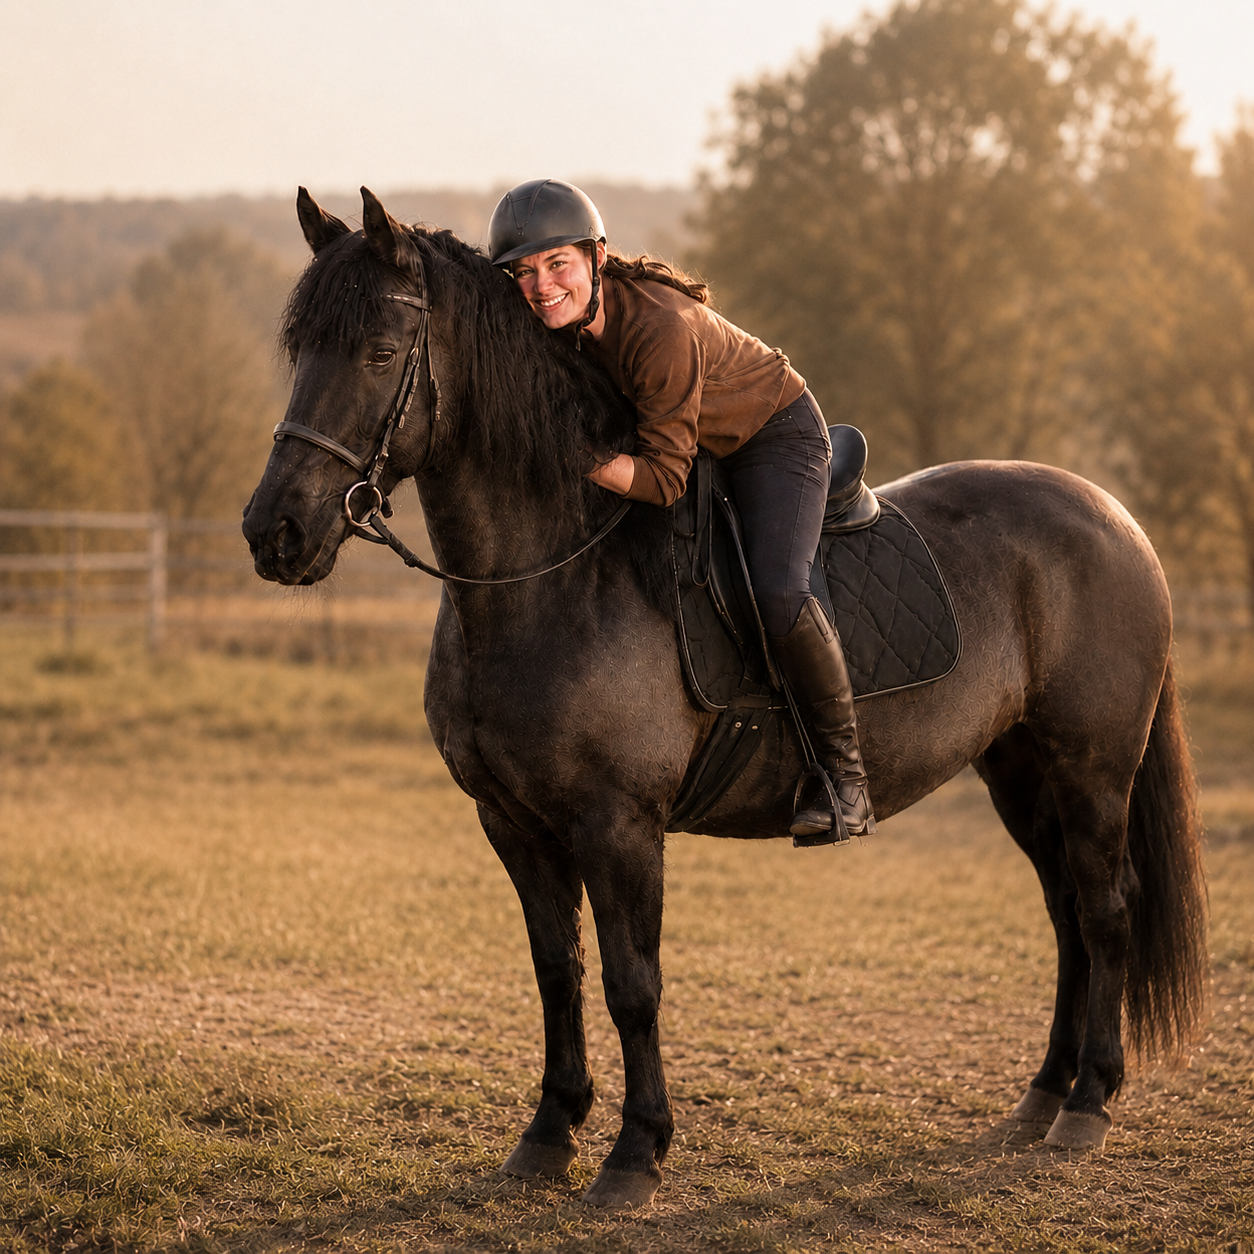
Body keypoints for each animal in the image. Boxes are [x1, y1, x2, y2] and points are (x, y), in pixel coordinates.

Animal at [242, 188, 1208, 1209]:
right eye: (299, 347)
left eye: (382, 352)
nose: (275, 533)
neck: (552, 576)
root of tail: (1113, 515)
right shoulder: (513, 823)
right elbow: (557, 972)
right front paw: (549, 1134)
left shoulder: (618, 825)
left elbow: (632, 984)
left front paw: (636, 1152)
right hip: (1018, 768)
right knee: (1067, 914)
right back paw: (1042, 1095)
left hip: (1092, 767)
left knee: (1105, 909)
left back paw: (1087, 1104)